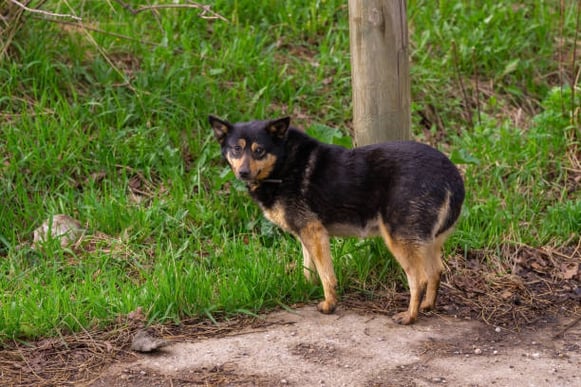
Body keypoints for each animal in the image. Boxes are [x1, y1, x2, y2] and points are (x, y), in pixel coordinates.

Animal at [208, 114, 462, 324]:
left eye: (259, 150)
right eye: (236, 149)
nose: (243, 173)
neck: (283, 163)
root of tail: (452, 175)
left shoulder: (314, 232)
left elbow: (326, 275)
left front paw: (329, 304)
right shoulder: (306, 234)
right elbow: (308, 267)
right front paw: (307, 288)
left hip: (400, 239)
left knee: (419, 279)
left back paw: (410, 316)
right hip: (429, 241)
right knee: (436, 271)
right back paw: (427, 305)